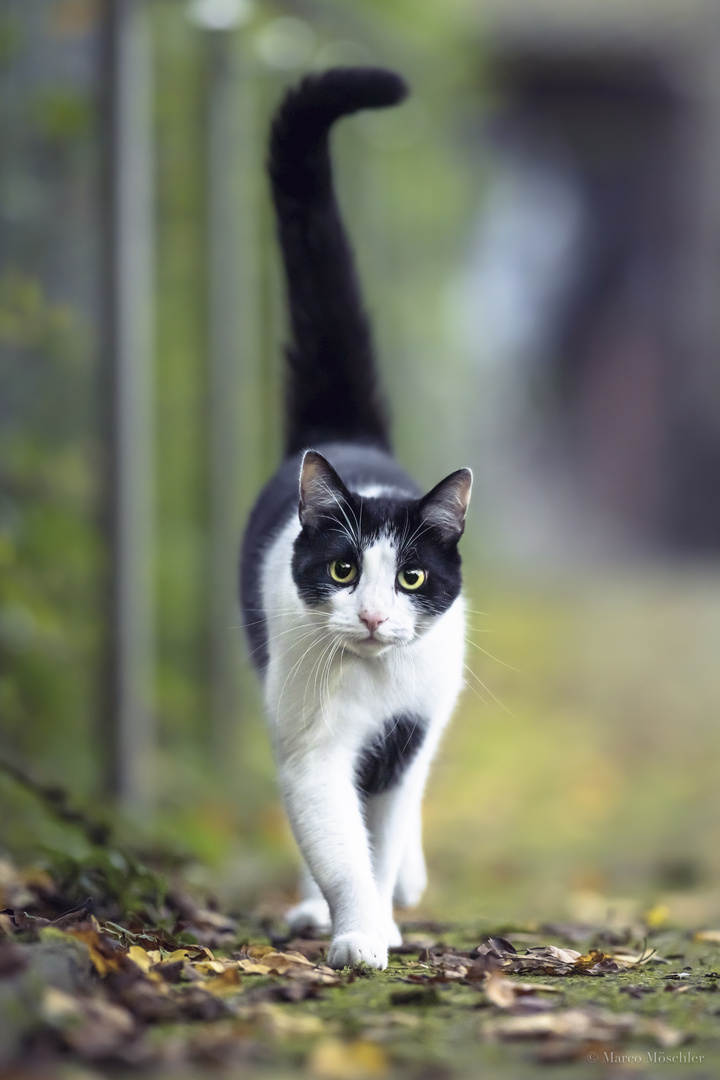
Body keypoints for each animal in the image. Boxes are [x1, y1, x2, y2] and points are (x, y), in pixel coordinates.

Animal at [239, 71, 470, 976]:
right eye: (342, 570)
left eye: (410, 576)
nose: (372, 617)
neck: (373, 683)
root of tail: (343, 435)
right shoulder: (311, 743)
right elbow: (336, 844)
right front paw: (359, 934)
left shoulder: (412, 731)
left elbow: (386, 824)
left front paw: (385, 915)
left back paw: (407, 880)